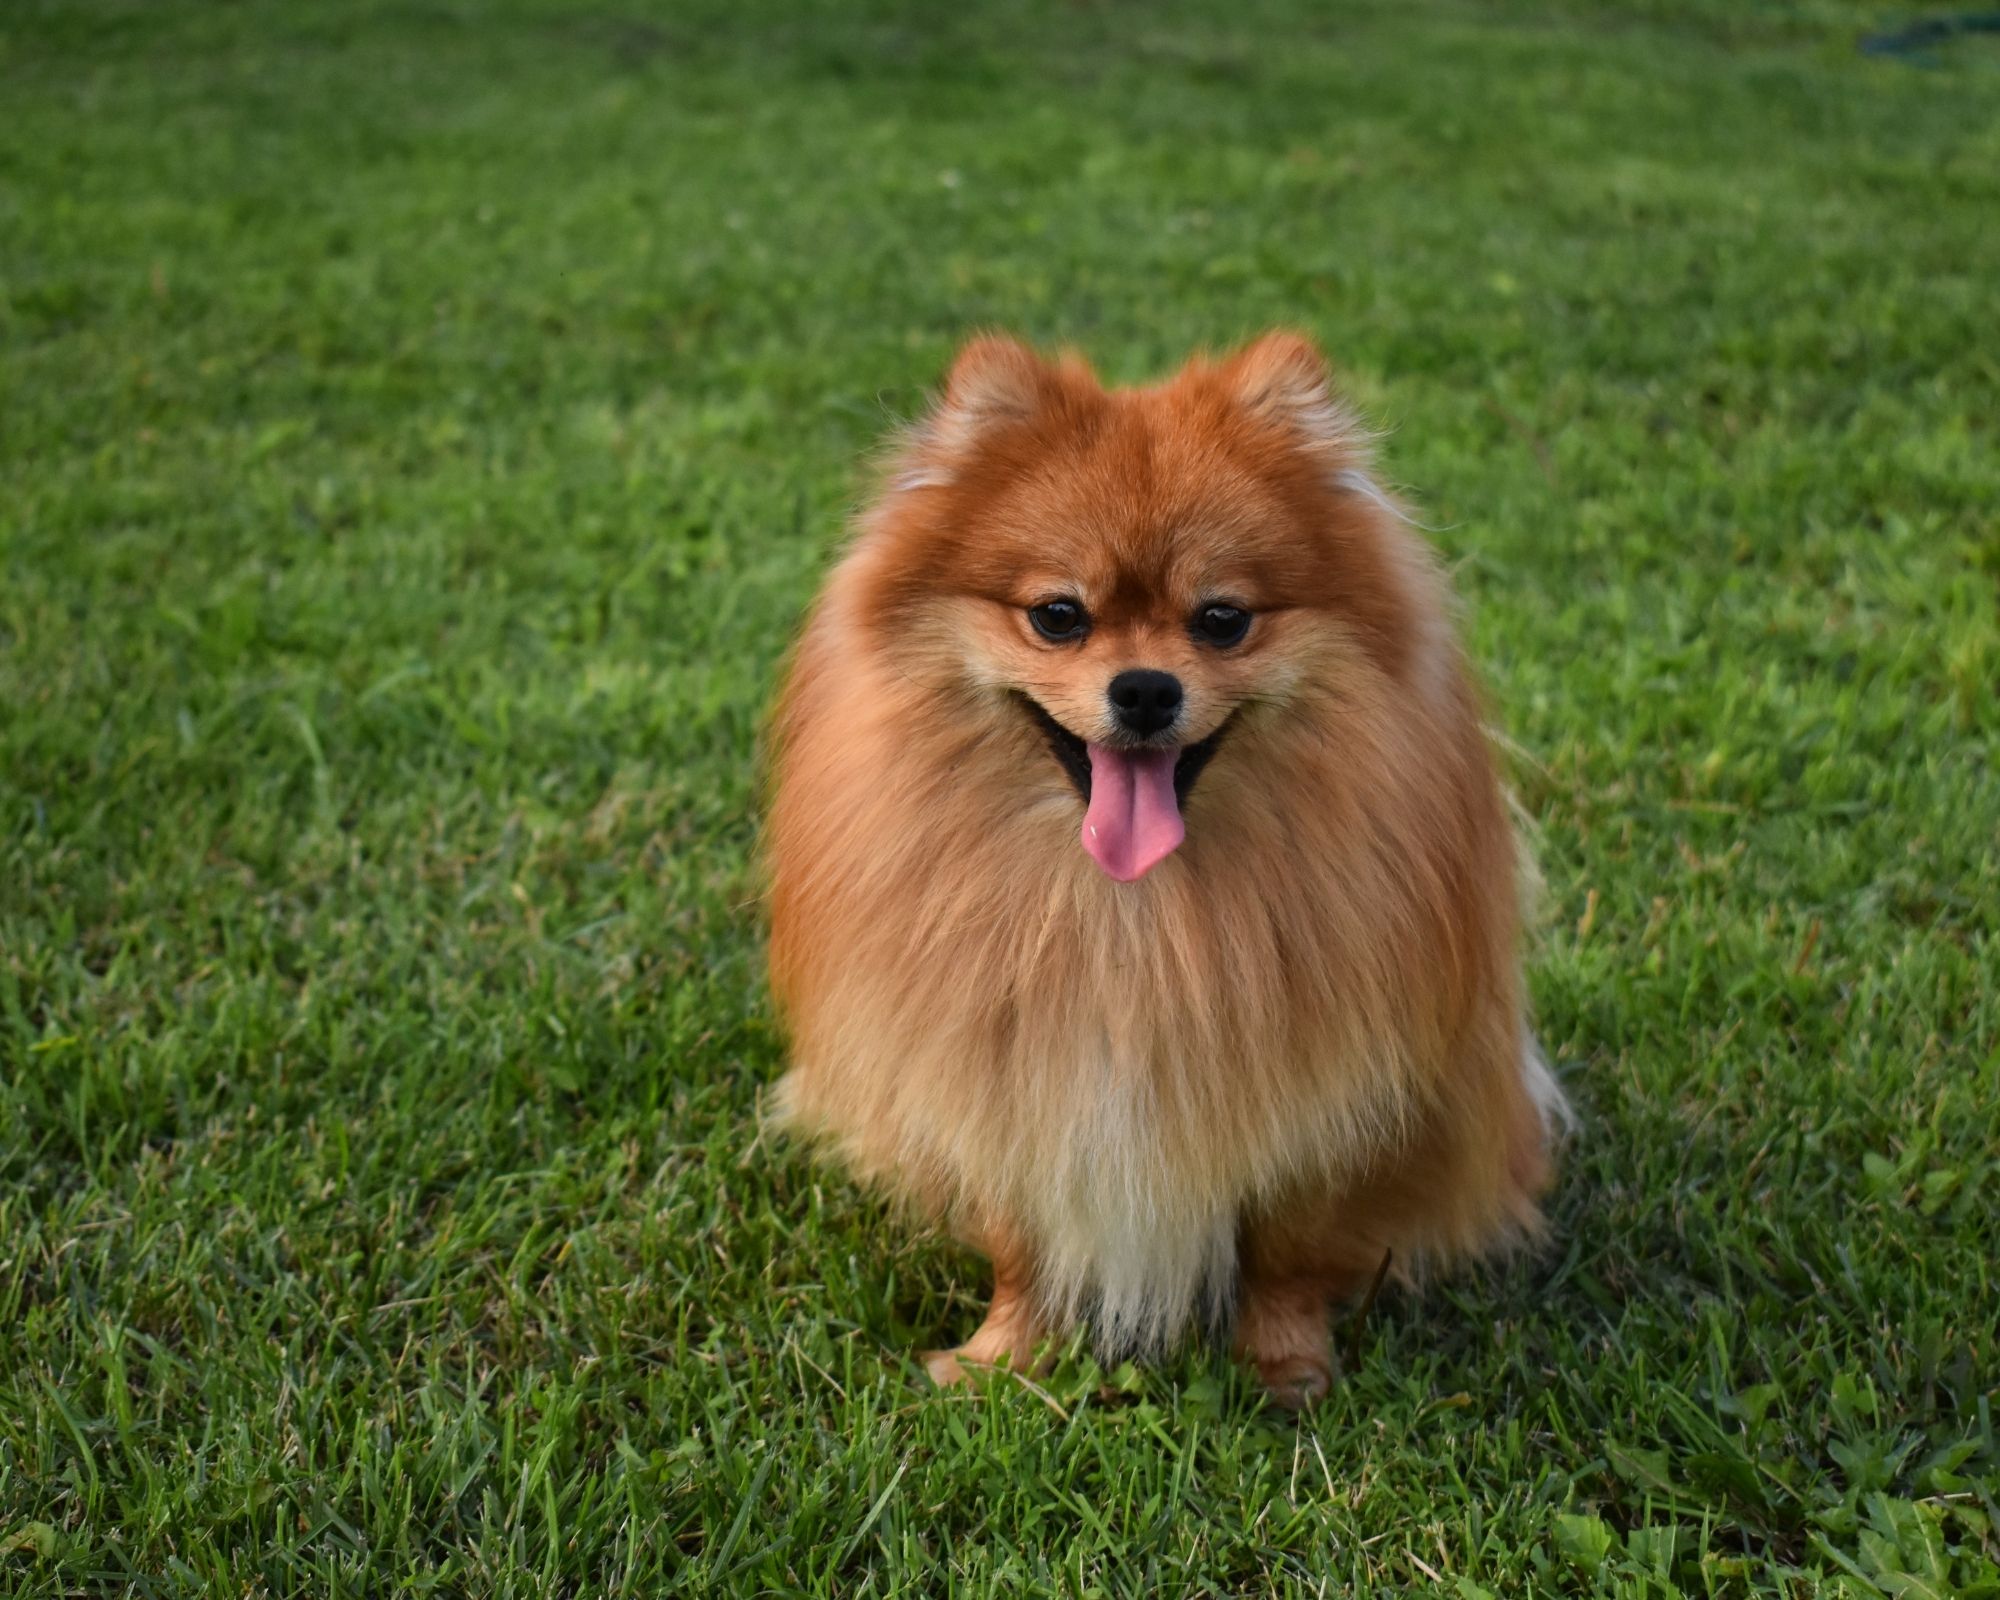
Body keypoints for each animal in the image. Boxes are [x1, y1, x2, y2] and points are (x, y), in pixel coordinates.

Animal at [764, 334, 1560, 1400]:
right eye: (1058, 616)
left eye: (1222, 619)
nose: (1144, 688)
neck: (1125, 913)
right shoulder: (1005, 1076)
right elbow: (1021, 1240)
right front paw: (1002, 1359)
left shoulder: (1323, 1097)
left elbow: (1288, 1249)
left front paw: (1285, 1367)